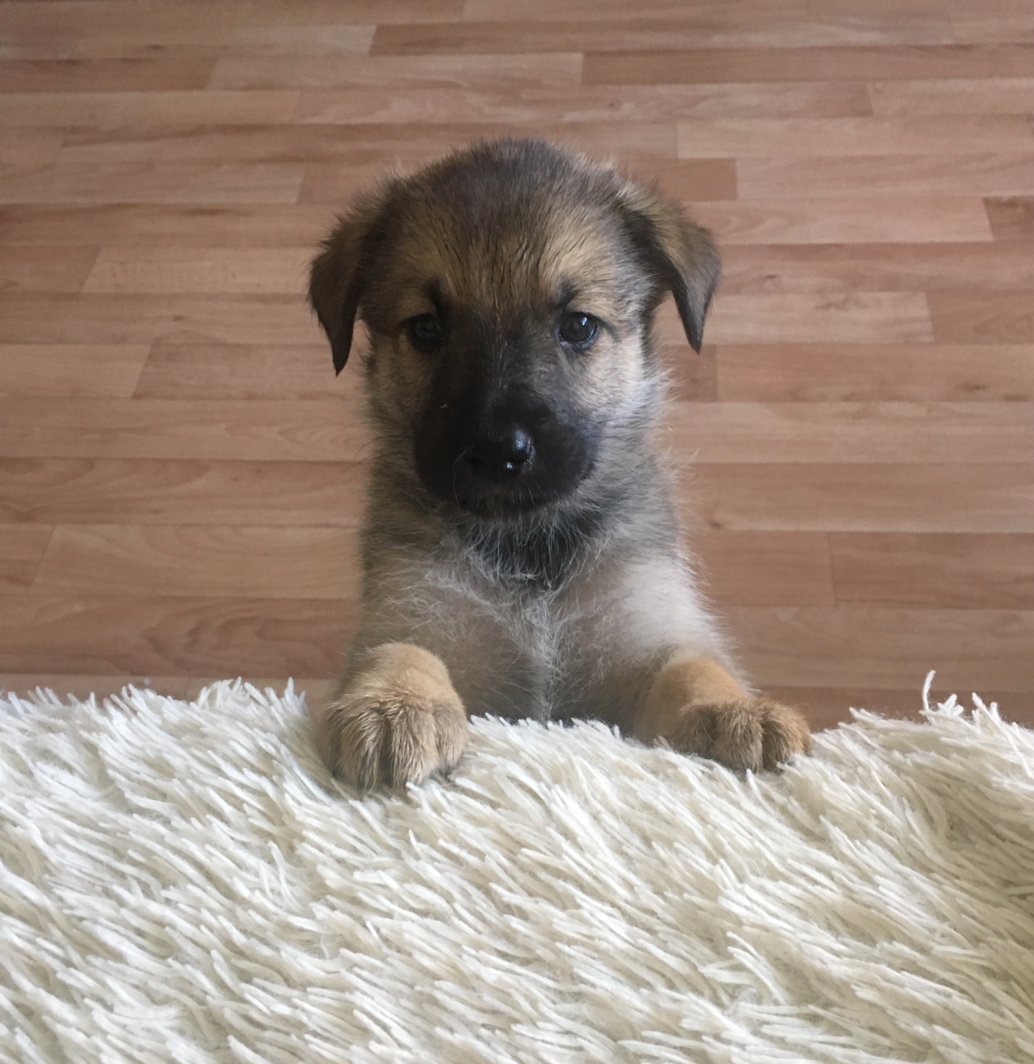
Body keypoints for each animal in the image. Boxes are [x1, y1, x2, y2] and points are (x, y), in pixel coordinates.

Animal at [308, 139, 816, 791]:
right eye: (426, 328)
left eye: (578, 325)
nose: (498, 452)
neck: (530, 549)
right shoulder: (412, 612)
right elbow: (399, 651)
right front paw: (394, 706)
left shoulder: (641, 641)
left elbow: (693, 668)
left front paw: (734, 710)